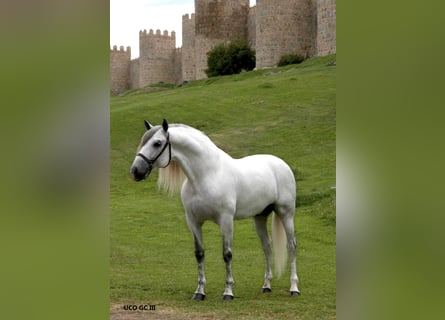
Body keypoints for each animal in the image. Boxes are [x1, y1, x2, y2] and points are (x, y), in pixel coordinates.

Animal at [130, 119, 300, 300]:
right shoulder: (193, 221)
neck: (207, 175)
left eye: (157, 143)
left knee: (291, 246)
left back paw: (294, 288)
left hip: (286, 214)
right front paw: (199, 292)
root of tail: (281, 164)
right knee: (267, 247)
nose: (135, 171)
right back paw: (266, 286)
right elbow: (199, 254)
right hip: (260, 217)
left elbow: (227, 254)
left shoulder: (226, 221)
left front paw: (228, 292)